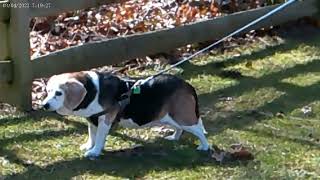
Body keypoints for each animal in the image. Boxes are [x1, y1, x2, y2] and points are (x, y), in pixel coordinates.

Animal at [42, 71, 208, 157]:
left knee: (200, 131)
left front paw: (94, 152)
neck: (93, 90)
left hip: (183, 117)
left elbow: (99, 138)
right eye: (48, 91)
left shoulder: (104, 121)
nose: (44, 105)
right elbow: (92, 135)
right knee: (179, 128)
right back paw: (174, 137)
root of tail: (187, 85)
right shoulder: (92, 120)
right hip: (171, 117)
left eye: (59, 93)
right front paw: (89, 146)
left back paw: (204, 147)